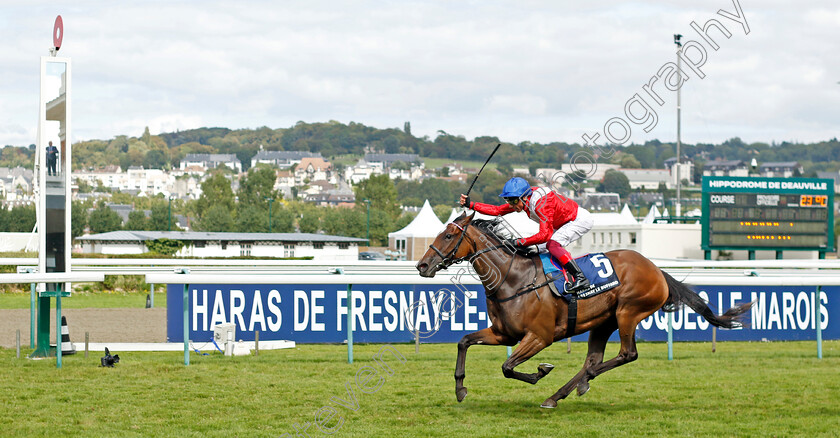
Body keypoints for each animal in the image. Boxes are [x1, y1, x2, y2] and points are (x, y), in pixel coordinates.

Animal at [416, 212, 752, 408]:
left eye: (448, 235)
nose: (422, 265)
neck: (514, 279)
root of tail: (657, 270)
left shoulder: (539, 337)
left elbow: (508, 367)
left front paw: (541, 371)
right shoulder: (503, 334)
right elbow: (464, 342)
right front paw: (460, 389)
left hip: (628, 312)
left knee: (626, 355)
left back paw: (578, 383)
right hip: (603, 322)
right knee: (594, 358)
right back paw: (561, 393)